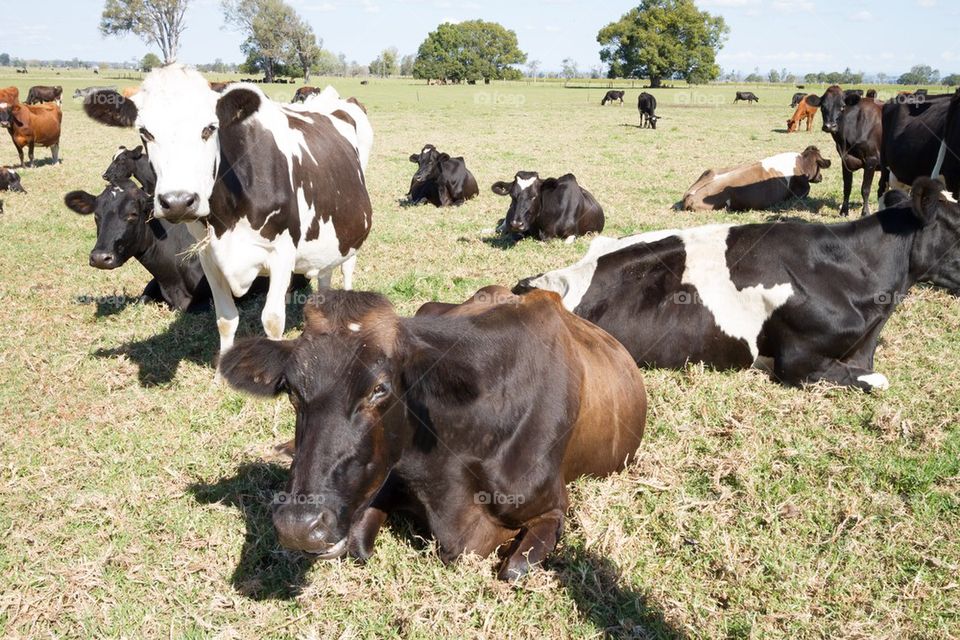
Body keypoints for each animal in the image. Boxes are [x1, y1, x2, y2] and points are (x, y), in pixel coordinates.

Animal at [83, 65, 376, 370]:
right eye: (145, 132)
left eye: (209, 128)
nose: (178, 201)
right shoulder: (208, 256)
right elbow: (225, 319)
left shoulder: (282, 253)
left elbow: (273, 321)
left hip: (351, 227)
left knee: (346, 268)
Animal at [221, 284, 648, 580]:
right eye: (292, 391)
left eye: (380, 388)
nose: (299, 525)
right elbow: (358, 545)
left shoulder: (553, 509)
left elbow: (512, 569)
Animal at [820, 85, 880, 216]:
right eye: (822, 107)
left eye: (842, 106)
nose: (829, 126)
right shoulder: (845, 159)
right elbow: (847, 187)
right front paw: (844, 211)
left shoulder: (871, 159)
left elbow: (865, 189)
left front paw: (865, 212)